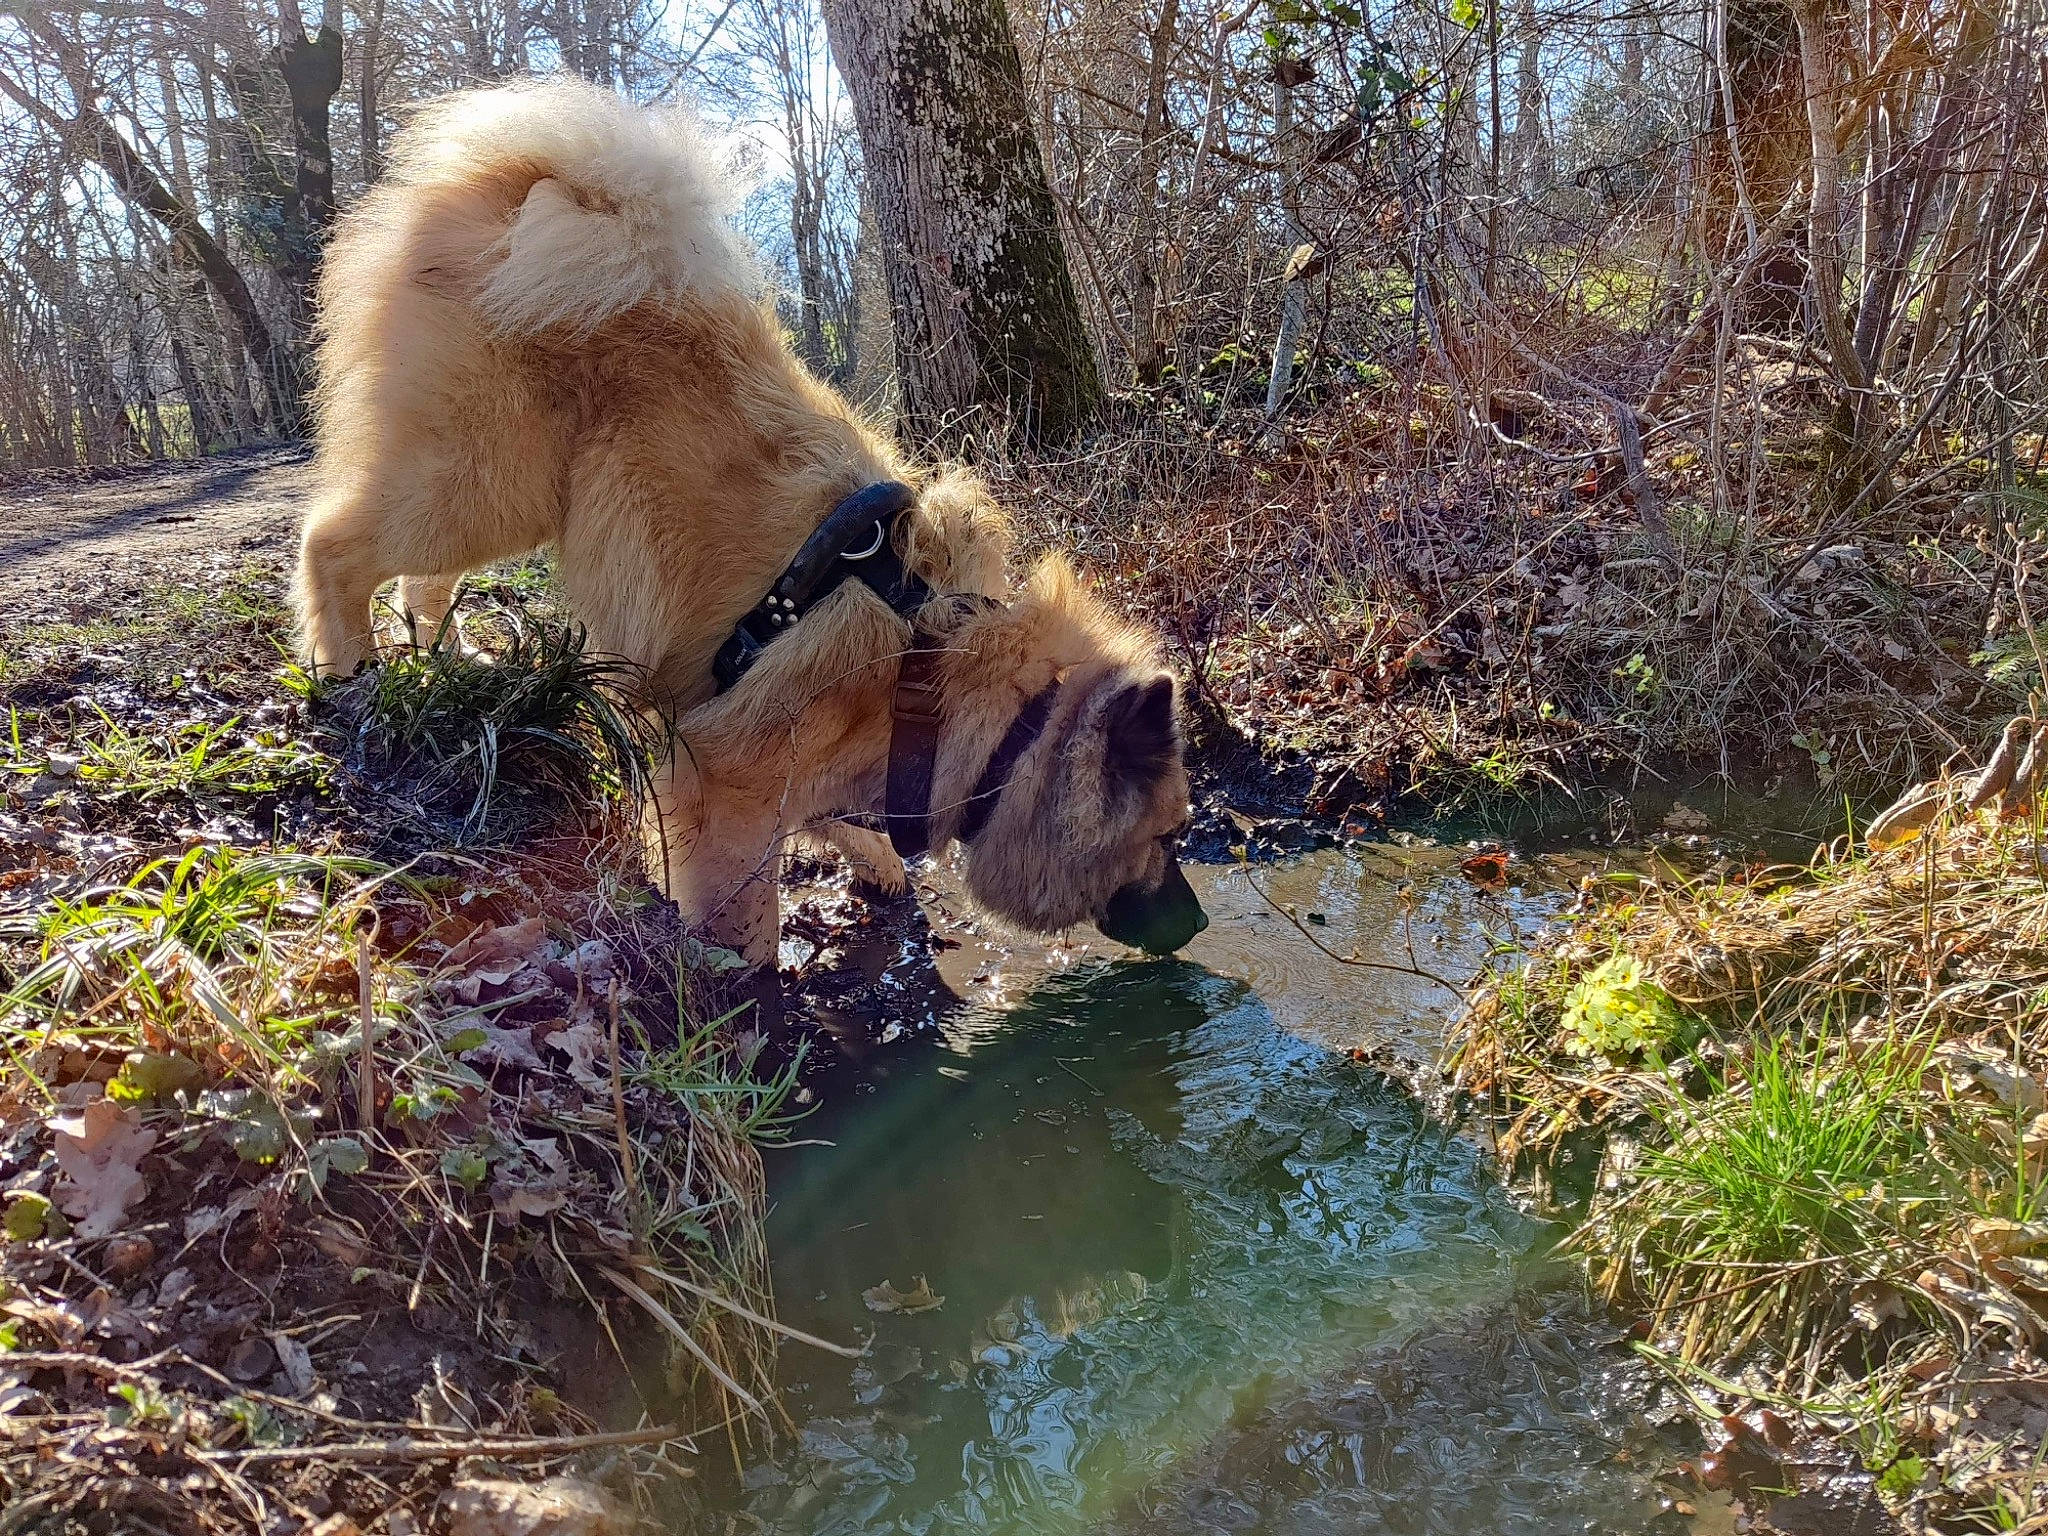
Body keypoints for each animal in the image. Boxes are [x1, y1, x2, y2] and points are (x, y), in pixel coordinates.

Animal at [295, 77, 1206, 974]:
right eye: (1168, 836)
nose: (1197, 921)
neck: (938, 669)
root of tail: (525, 189)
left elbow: (832, 815)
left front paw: (874, 865)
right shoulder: (721, 784)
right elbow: (748, 922)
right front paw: (738, 989)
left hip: (495, 496)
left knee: (418, 580)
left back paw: (447, 657)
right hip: (483, 482)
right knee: (333, 545)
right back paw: (352, 669)